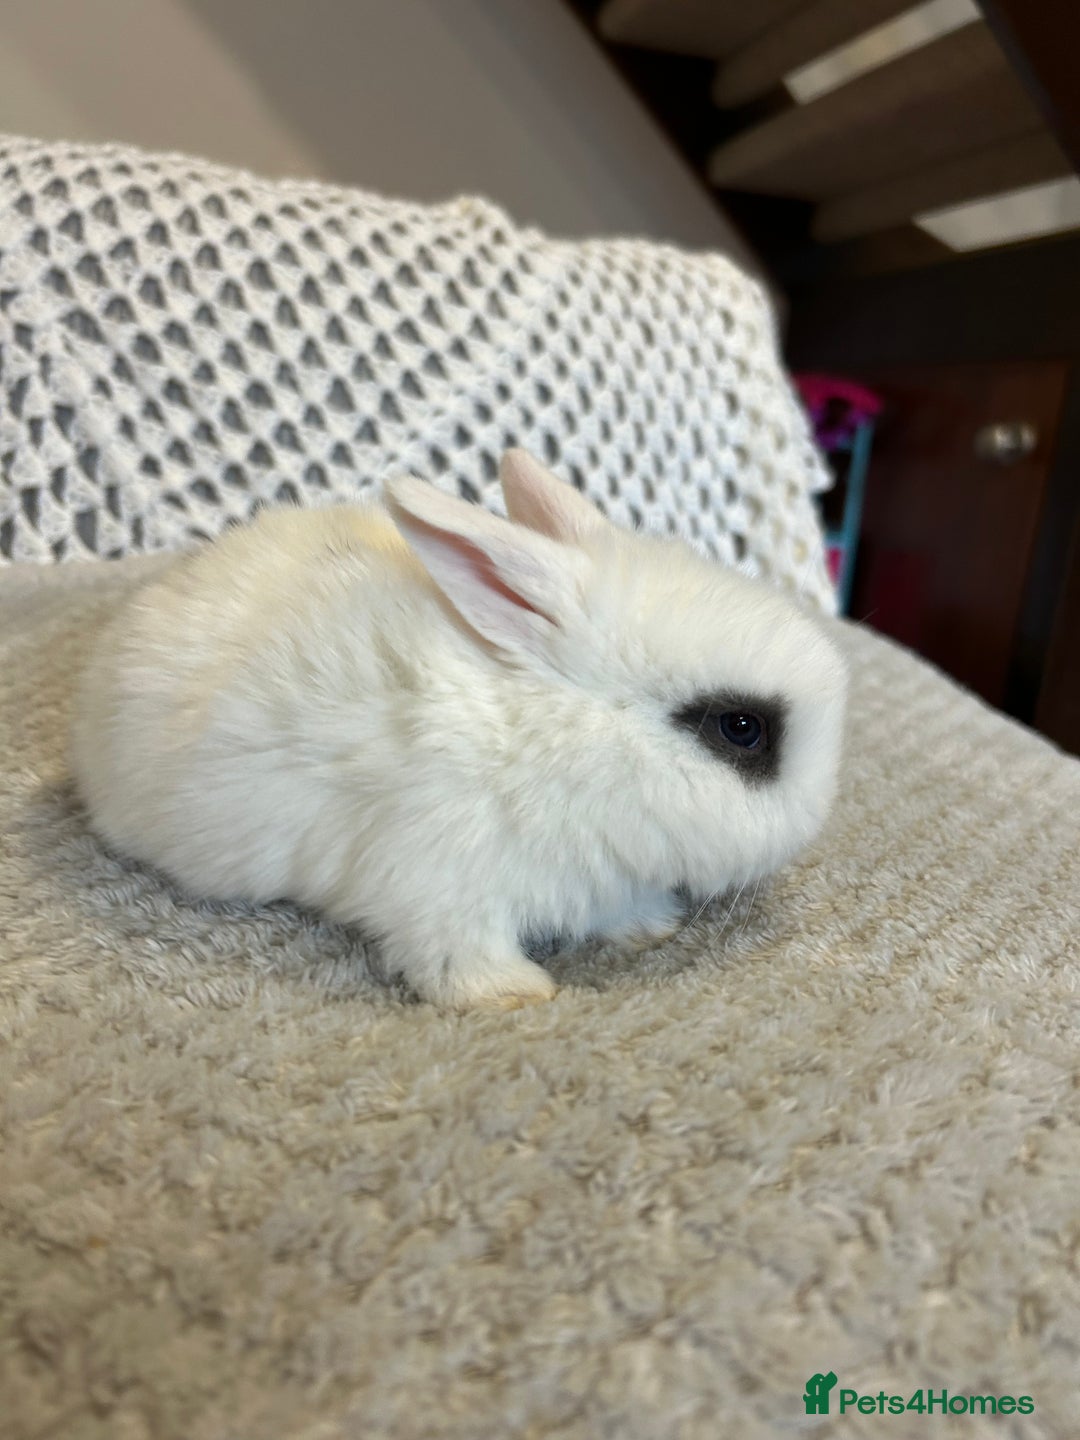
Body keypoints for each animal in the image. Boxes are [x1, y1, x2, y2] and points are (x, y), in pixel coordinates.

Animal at [70, 449, 848, 1011]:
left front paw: (650, 927)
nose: (818, 816)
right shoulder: (438, 884)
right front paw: (517, 997)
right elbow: (456, 959)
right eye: (741, 728)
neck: (555, 733)